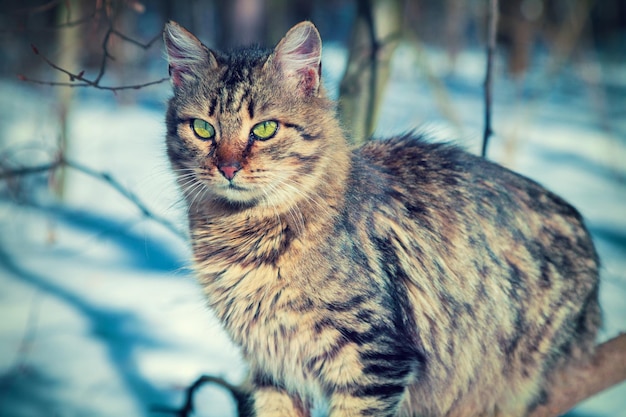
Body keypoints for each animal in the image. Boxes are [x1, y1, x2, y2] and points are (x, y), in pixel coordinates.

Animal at [161, 19, 600, 416]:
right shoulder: (273, 366)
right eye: (203, 129)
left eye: (265, 129)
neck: (241, 237)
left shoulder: (375, 356)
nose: (228, 168)